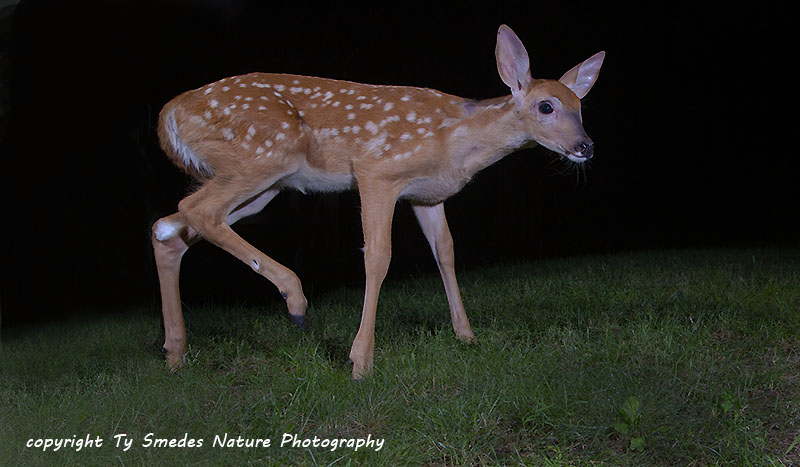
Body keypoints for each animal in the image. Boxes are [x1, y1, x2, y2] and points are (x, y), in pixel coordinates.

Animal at [151, 24, 605, 379]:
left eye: (581, 106)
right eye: (546, 106)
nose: (586, 146)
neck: (458, 142)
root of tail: (168, 114)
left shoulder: (428, 195)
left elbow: (446, 252)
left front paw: (466, 336)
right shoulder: (377, 172)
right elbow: (378, 256)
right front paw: (360, 361)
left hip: (265, 185)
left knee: (168, 228)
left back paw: (175, 354)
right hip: (264, 155)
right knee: (197, 211)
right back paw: (295, 300)